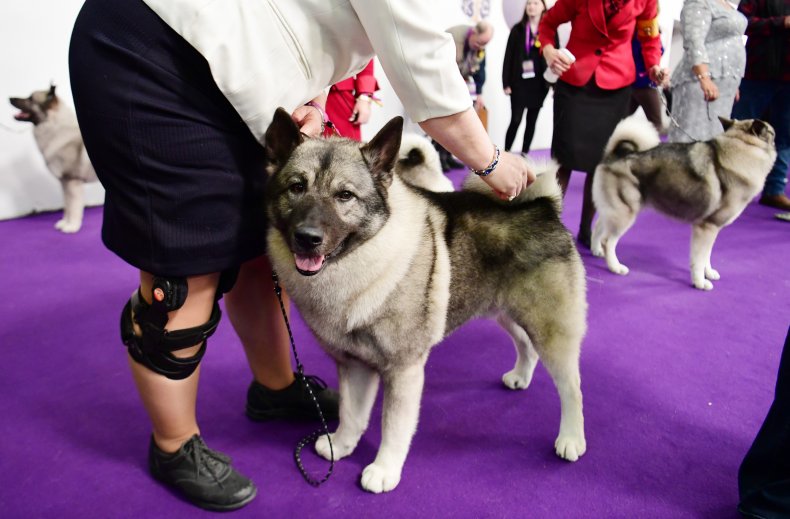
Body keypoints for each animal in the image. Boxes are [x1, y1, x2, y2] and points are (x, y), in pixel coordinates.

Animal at [9, 84, 97, 234]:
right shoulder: (64, 184)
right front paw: (64, 222)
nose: (10, 98)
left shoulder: (72, 182)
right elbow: (67, 205)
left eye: (31, 99)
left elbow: (74, 207)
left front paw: (72, 226)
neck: (57, 129)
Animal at [264, 109, 588, 496]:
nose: (308, 237)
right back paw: (521, 376)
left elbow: (392, 425)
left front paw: (384, 470)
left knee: (571, 388)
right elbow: (351, 414)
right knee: (526, 345)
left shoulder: (403, 369)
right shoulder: (355, 364)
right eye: (297, 187)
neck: (358, 261)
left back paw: (571, 439)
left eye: (345, 195)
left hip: (551, 328)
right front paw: (341, 445)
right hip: (503, 308)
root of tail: (543, 205)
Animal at [592, 115, 776, 290]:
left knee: (598, 227)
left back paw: (596, 250)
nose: (776, 135)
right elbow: (700, 259)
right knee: (608, 240)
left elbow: (707, 255)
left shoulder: (710, 229)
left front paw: (708, 273)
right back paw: (615, 266)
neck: (742, 145)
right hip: (625, 213)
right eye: (772, 133)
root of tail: (616, 154)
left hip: (615, 209)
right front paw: (700, 282)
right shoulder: (707, 227)